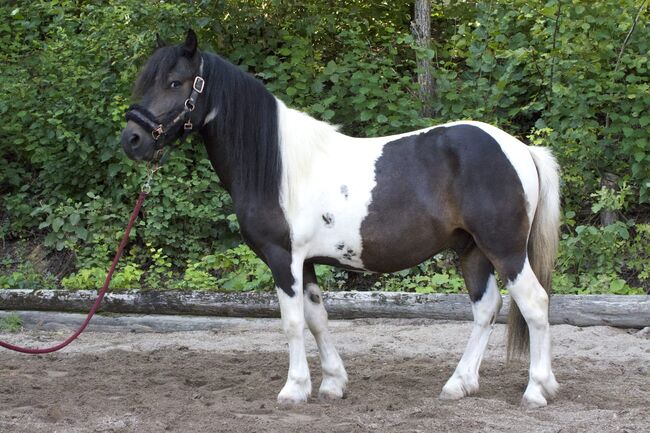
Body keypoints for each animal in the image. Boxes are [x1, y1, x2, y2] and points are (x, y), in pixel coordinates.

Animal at [123, 30, 560, 408]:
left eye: (176, 82)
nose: (132, 140)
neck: (279, 167)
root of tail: (520, 149)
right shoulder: (306, 262)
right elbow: (317, 319)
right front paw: (332, 384)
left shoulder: (282, 258)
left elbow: (292, 322)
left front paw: (294, 389)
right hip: (472, 251)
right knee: (486, 308)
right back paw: (460, 383)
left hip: (504, 249)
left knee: (535, 303)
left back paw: (536, 390)